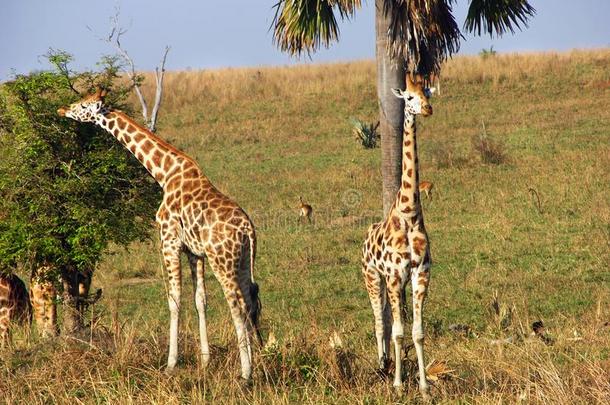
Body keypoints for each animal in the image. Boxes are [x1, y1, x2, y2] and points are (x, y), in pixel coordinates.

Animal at [57, 87, 264, 380]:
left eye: (84, 106)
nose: (62, 110)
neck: (164, 173)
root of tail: (248, 229)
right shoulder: (194, 252)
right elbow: (200, 300)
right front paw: (205, 361)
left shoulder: (168, 241)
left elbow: (174, 300)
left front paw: (171, 363)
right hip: (243, 260)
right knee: (249, 300)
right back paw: (256, 364)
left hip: (222, 260)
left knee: (236, 304)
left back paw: (246, 374)